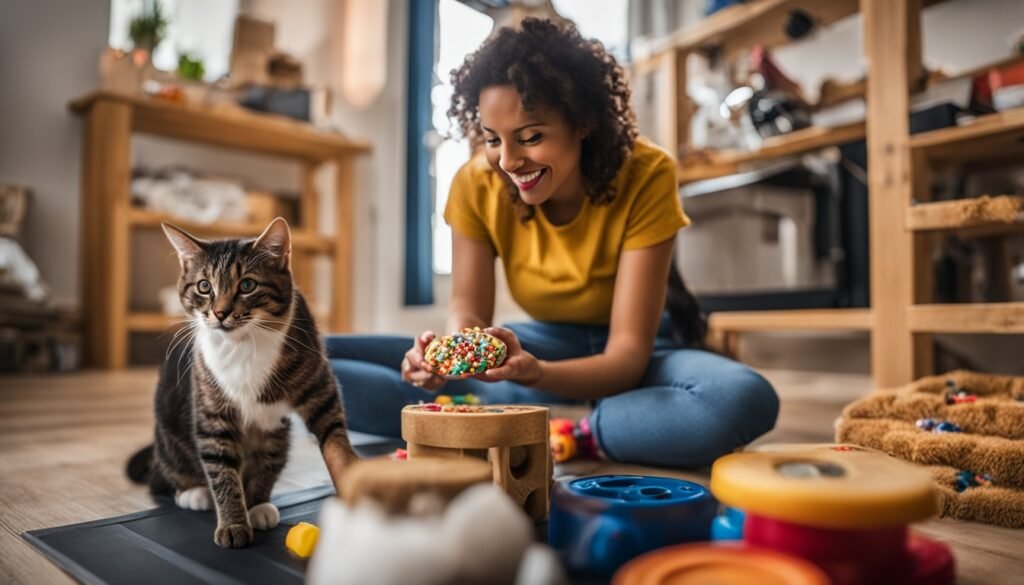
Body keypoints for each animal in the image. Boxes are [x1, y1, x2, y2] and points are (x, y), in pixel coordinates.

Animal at [125, 216, 358, 549]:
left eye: (247, 284)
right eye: (204, 286)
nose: (220, 312)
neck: (243, 343)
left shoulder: (319, 386)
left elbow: (335, 440)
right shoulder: (211, 407)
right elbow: (221, 467)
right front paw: (234, 523)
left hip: (278, 433)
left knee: (271, 455)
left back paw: (258, 503)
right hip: (169, 433)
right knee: (167, 475)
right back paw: (193, 492)